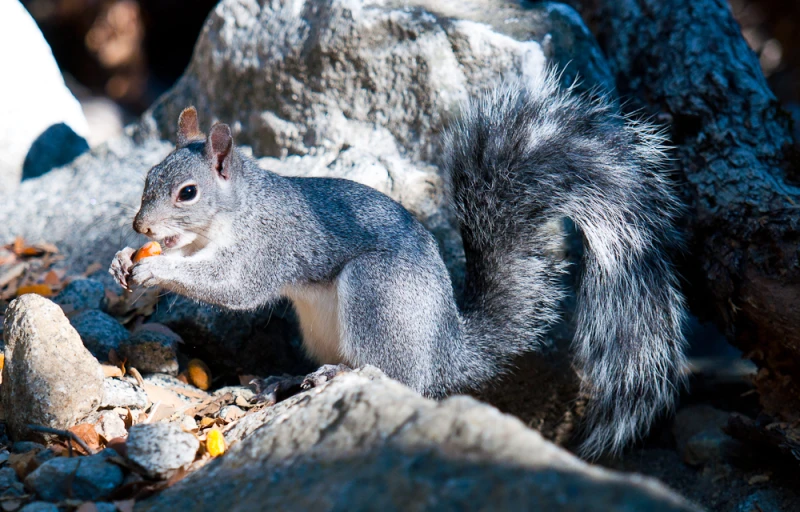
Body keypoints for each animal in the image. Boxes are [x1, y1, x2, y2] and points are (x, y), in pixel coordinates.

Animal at [111, 71, 688, 456]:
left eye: (187, 192)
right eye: (148, 176)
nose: (141, 227)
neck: (230, 215)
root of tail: (444, 351)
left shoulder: (267, 246)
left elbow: (231, 285)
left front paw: (158, 271)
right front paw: (124, 265)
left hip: (376, 295)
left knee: (394, 376)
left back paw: (334, 375)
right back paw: (283, 380)